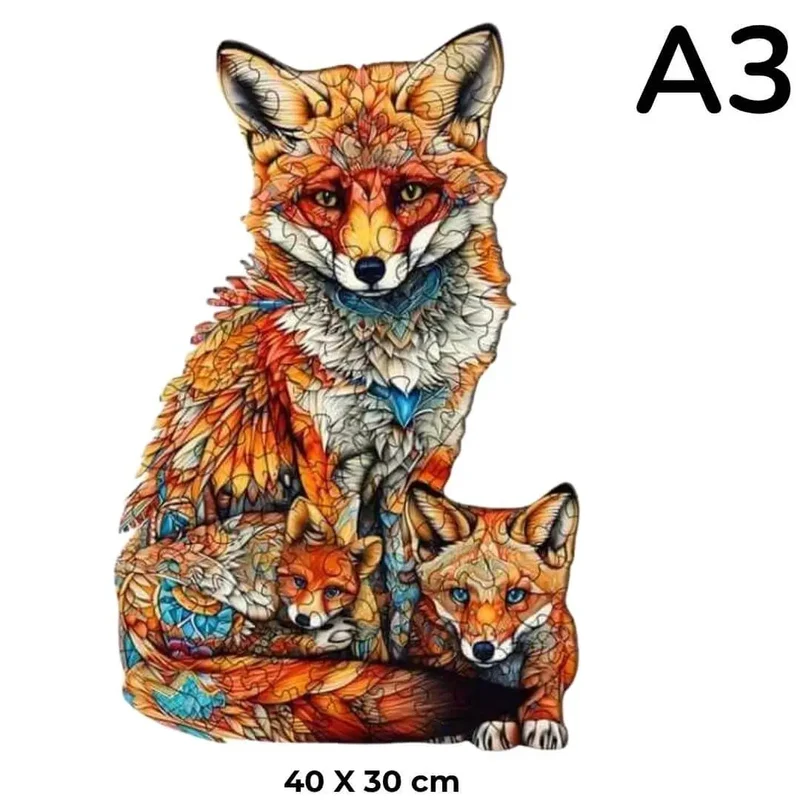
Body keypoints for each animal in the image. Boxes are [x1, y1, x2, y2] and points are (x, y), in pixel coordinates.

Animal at [119, 25, 510, 657]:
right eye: (327, 199)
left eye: (409, 193)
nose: (371, 268)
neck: (394, 362)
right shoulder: (332, 465)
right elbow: (362, 585)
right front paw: (371, 655)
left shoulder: (428, 457)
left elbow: (408, 577)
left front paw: (415, 648)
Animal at [403, 482, 580, 750]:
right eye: (460, 594)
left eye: (515, 595)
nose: (483, 650)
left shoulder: (551, 646)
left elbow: (544, 688)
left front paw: (543, 721)